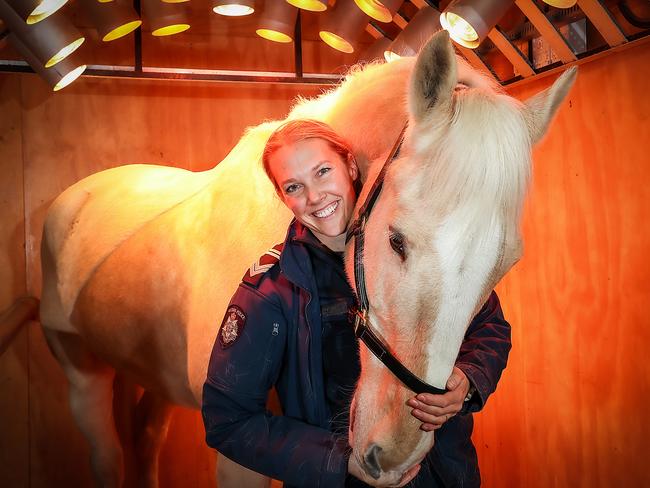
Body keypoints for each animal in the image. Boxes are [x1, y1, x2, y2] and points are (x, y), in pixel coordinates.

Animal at [34, 31, 572, 488]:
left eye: (505, 264)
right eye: (396, 240)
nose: (394, 455)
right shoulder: (238, 447)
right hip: (81, 372)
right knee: (107, 454)